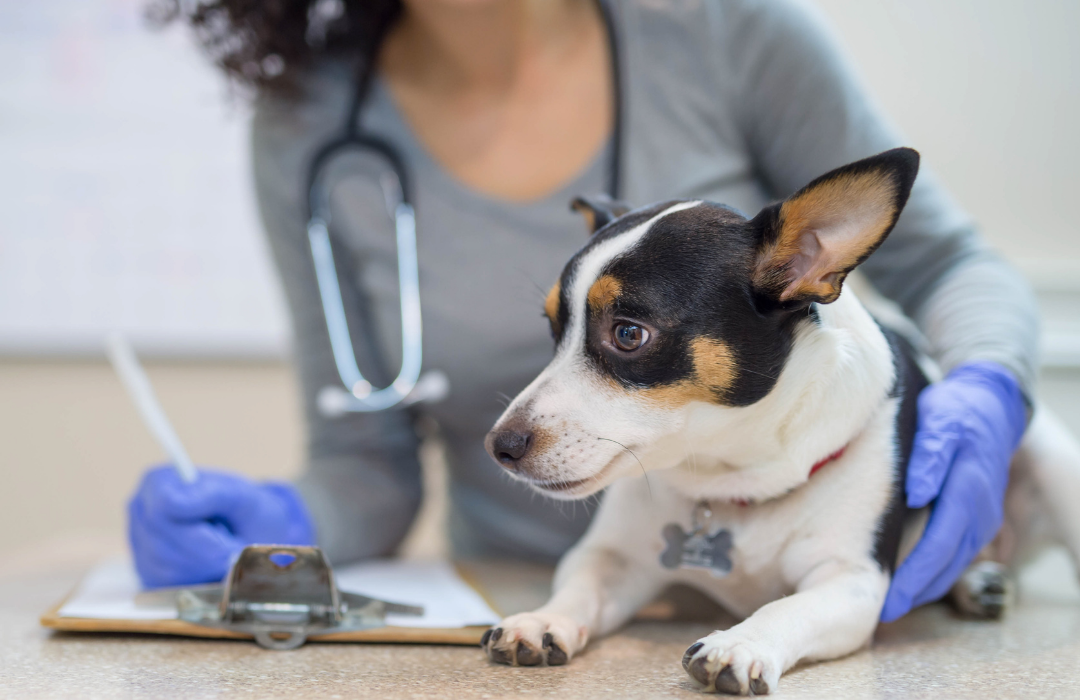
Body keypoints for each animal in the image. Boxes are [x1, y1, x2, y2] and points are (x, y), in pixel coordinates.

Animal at [479, 149, 1080, 695]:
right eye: (553, 329)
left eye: (628, 334)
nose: (499, 446)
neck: (733, 477)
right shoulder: (615, 558)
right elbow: (581, 586)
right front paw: (543, 617)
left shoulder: (852, 582)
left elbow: (788, 608)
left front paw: (741, 641)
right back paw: (978, 580)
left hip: (1051, 461)